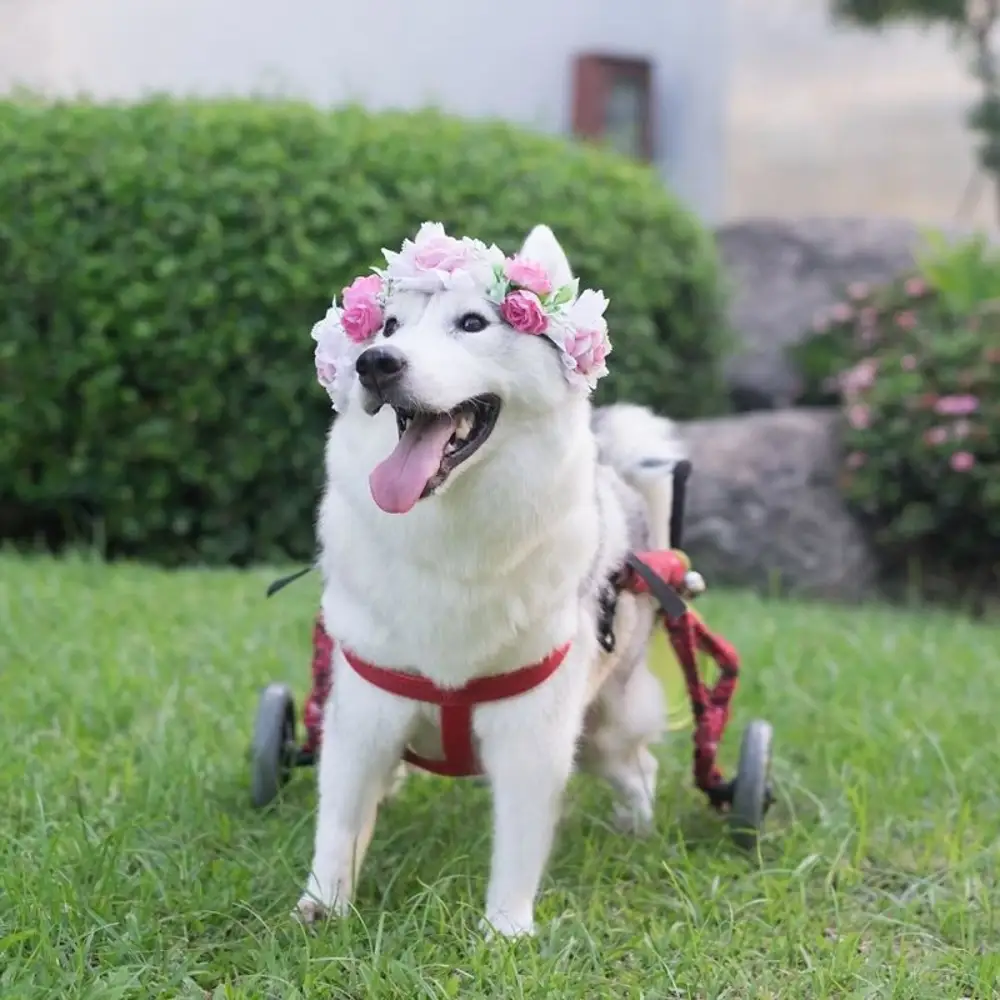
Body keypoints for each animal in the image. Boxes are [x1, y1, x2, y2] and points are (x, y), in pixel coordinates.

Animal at [296, 221, 688, 936]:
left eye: (473, 323)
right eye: (387, 326)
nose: (376, 363)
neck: (450, 539)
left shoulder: (532, 730)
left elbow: (520, 841)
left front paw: (505, 931)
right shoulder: (363, 709)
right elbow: (338, 820)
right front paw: (323, 905)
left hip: (606, 727)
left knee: (637, 765)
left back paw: (638, 829)